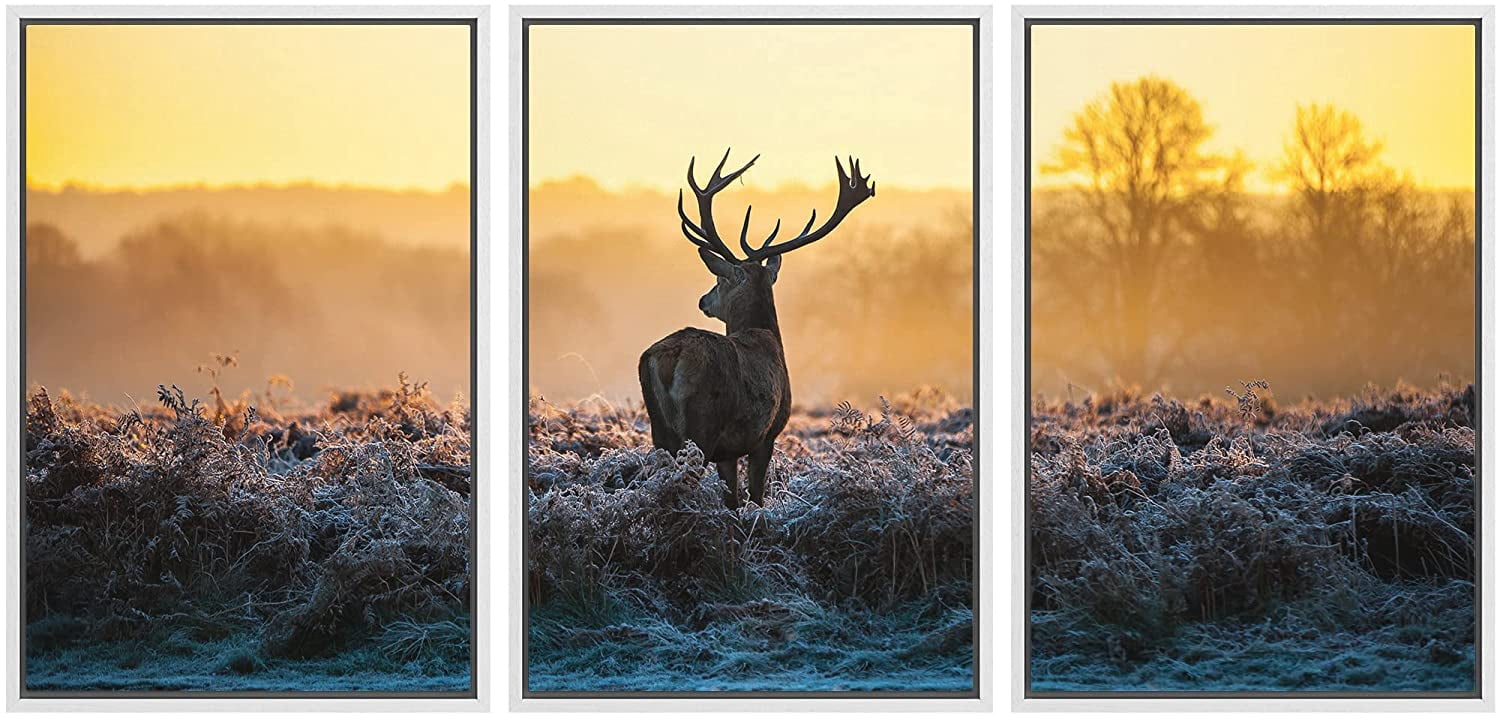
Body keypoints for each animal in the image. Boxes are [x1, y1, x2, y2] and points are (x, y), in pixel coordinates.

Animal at [638, 149, 875, 509]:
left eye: (719, 279)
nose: (703, 300)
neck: (765, 335)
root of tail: (669, 357)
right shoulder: (766, 434)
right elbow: (755, 497)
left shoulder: (729, 451)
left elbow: (732, 499)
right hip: (702, 425)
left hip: (660, 430)